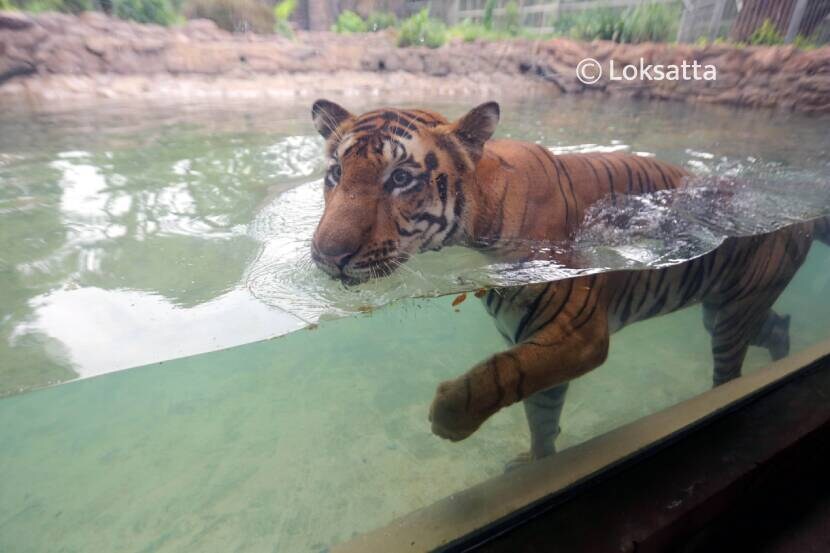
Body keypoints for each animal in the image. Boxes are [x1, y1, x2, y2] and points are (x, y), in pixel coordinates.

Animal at [308, 99, 828, 466]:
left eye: (400, 178)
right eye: (335, 173)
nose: (329, 256)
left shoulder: (577, 331)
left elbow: (501, 372)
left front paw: (449, 416)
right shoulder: (536, 338)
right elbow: (540, 412)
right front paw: (537, 463)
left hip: (730, 319)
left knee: (728, 373)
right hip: (726, 307)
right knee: (775, 325)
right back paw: (783, 352)